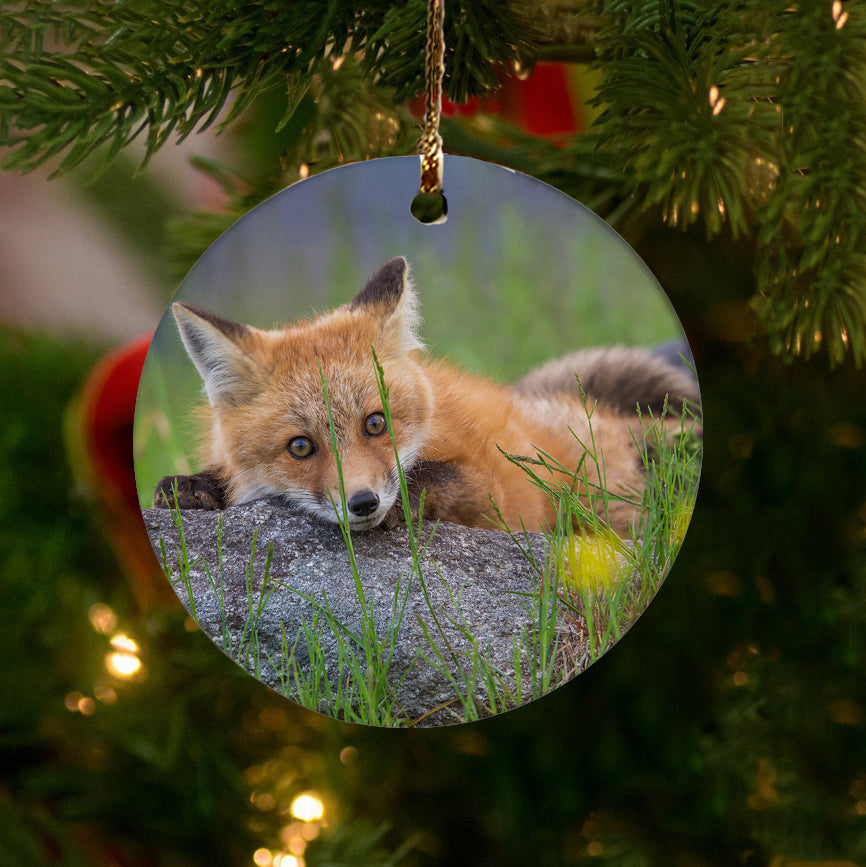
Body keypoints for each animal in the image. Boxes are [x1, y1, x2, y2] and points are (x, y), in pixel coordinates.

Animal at [153, 257, 699, 534]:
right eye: (300, 447)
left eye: (376, 423)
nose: (364, 503)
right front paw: (195, 486)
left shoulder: (497, 494)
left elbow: (434, 478)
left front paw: (405, 502)